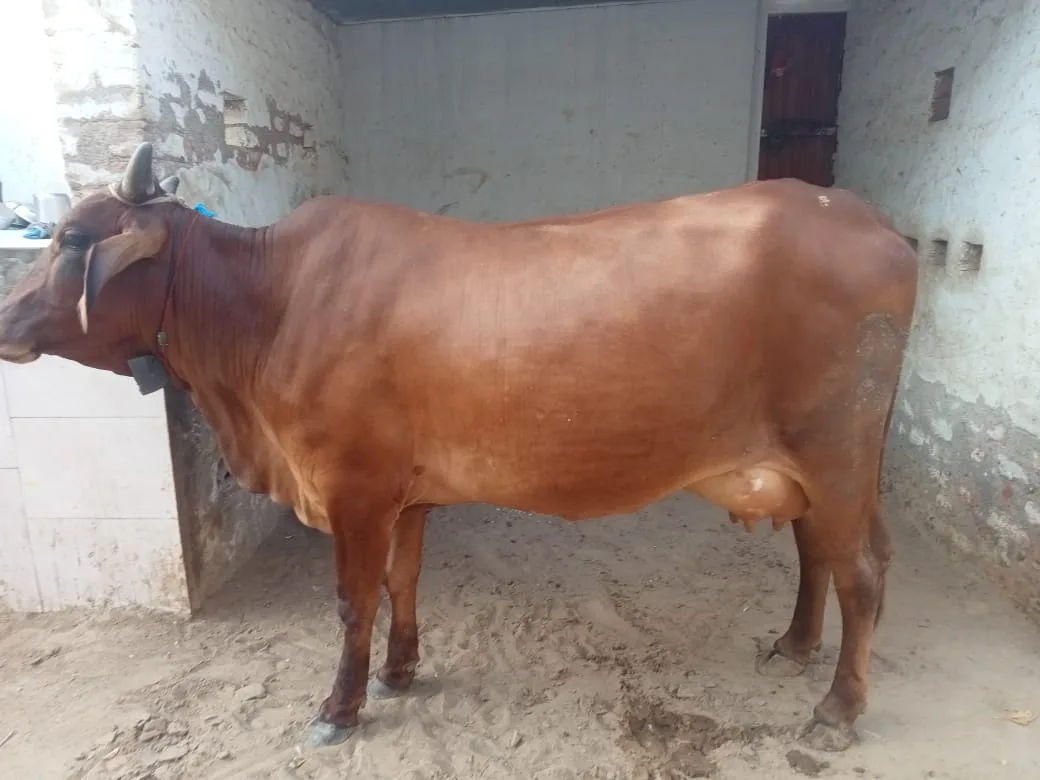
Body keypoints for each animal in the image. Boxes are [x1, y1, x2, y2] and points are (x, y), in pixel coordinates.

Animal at [0, 143, 917, 753]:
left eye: (74, 240)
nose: (5, 317)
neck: (267, 305)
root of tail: (867, 219)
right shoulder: (404, 494)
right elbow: (402, 583)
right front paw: (402, 671)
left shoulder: (353, 488)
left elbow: (354, 601)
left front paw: (340, 708)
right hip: (818, 467)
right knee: (821, 553)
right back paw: (794, 647)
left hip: (835, 452)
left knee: (863, 574)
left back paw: (837, 711)